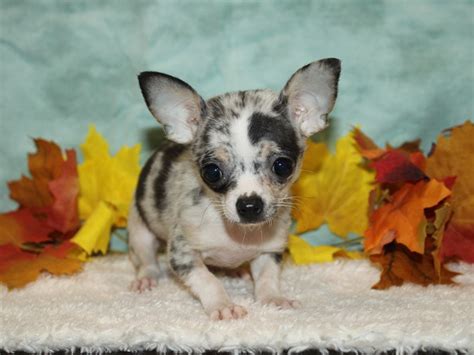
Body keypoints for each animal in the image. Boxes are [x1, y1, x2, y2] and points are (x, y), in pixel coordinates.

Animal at [128, 57, 338, 320]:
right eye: (212, 172)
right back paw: (146, 278)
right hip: (139, 230)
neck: (238, 234)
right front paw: (222, 305)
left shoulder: (269, 251)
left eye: (282, 166)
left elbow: (267, 278)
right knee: (146, 259)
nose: (249, 205)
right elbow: (208, 280)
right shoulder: (182, 254)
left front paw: (273, 298)